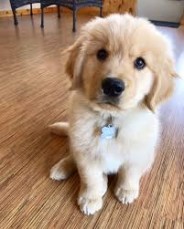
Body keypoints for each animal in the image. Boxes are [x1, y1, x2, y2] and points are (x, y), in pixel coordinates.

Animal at [49, 13, 175, 215]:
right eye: (101, 54)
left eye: (140, 62)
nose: (112, 86)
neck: (111, 119)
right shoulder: (86, 155)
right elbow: (91, 178)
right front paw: (91, 197)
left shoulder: (138, 154)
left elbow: (130, 173)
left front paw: (127, 190)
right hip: (76, 142)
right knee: (72, 156)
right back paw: (62, 167)